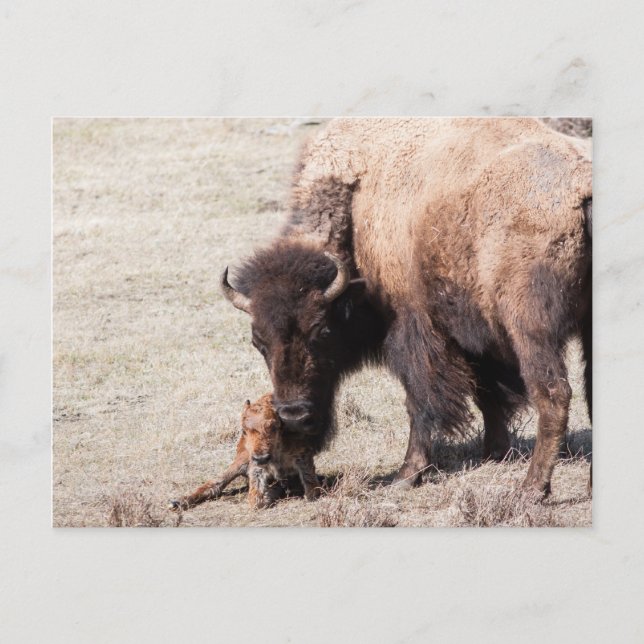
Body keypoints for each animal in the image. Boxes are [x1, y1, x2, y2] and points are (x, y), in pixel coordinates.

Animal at [170, 393, 319, 510]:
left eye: (274, 427)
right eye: (244, 430)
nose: (261, 458)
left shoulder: (303, 456)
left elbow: (311, 484)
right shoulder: (255, 466)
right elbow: (256, 499)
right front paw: (265, 497)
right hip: (241, 461)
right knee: (216, 482)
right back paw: (177, 502)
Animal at [221, 118, 592, 497]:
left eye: (321, 331)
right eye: (258, 342)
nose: (294, 414)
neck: (356, 206)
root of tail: (579, 188)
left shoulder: (416, 330)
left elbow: (421, 402)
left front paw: (406, 475)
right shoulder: (470, 332)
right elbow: (487, 393)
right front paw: (494, 452)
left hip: (529, 328)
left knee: (554, 394)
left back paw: (533, 489)